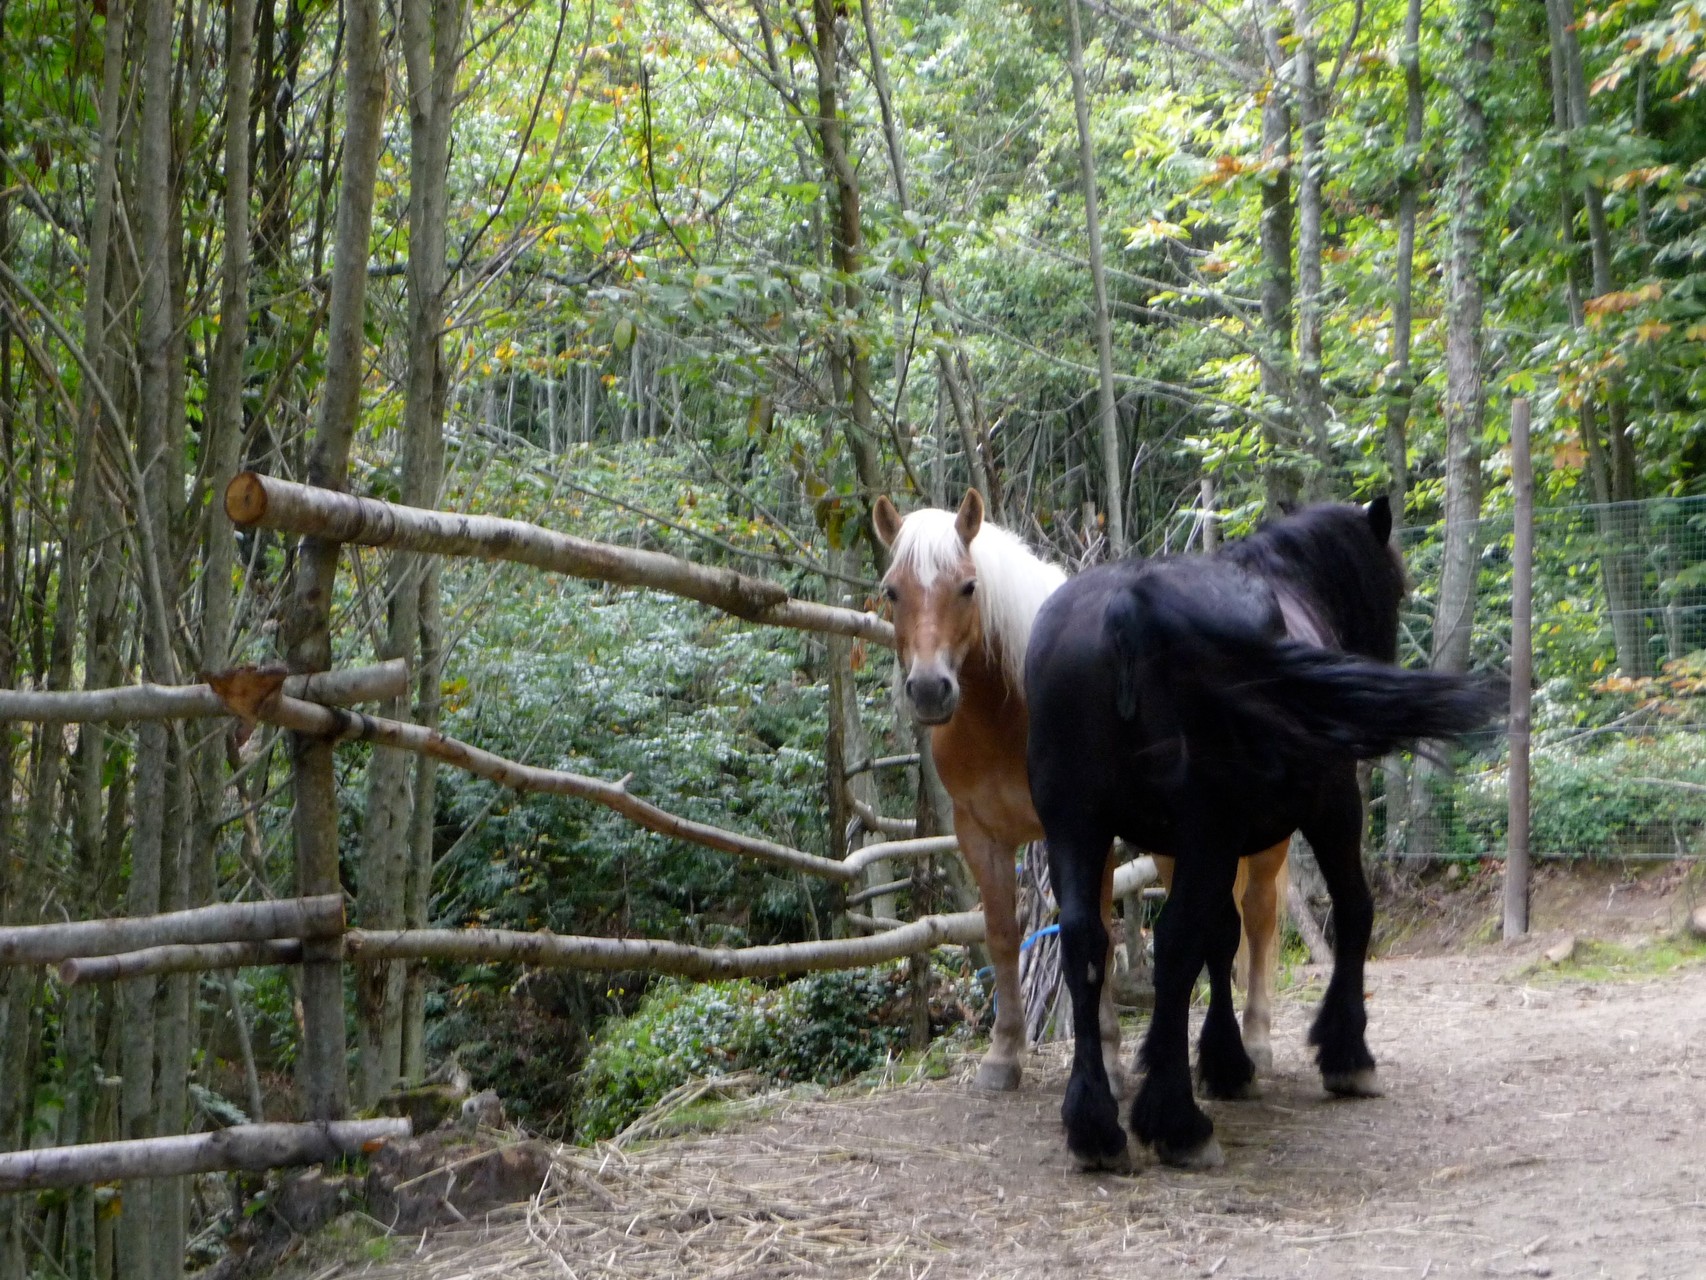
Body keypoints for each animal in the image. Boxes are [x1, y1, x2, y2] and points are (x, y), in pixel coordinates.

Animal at [873, 491, 1282, 1092]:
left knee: (1258, 914)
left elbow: (1097, 938)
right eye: (892, 591)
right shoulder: (980, 834)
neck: (1010, 712)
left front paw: (1106, 1061)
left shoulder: (1085, 831)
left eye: (968, 586)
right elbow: (1002, 934)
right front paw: (1003, 1055)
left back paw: (1253, 1043)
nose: (929, 689)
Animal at [1016, 498, 1501, 1174]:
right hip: (1207, 832)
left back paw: (1095, 1126)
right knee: (1174, 943)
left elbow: (1224, 938)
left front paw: (1226, 1062)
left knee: (1088, 942)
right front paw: (1346, 1054)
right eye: (1395, 588)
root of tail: (1128, 605)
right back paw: (1179, 1124)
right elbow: (1353, 910)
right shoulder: (1330, 808)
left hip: (1079, 828)